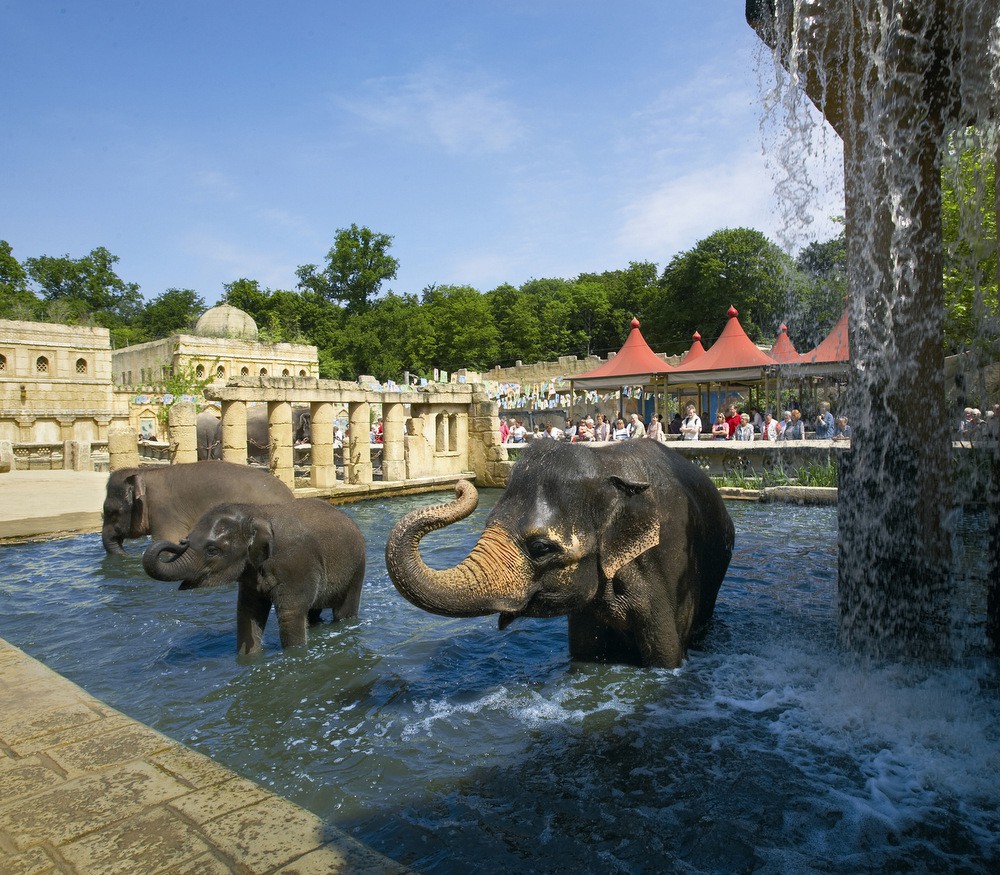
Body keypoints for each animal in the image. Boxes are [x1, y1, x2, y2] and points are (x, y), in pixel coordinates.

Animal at [143, 496, 366, 652]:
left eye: (212, 550)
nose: (181, 541)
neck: (256, 512)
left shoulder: (296, 563)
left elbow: (290, 614)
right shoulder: (250, 570)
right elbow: (248, 612)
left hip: (356, 569)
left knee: (343, 612)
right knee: (312, 613)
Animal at [382, 442, 736, 668]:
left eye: (540, 548)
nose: (459, 484)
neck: (605, 466)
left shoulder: (667, 567)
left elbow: (667, 659)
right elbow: (584, 657)